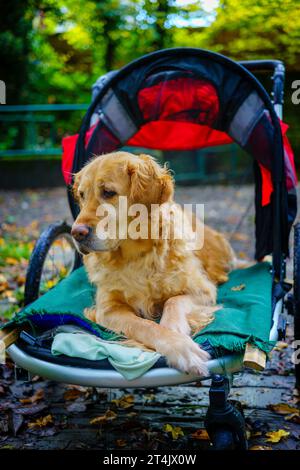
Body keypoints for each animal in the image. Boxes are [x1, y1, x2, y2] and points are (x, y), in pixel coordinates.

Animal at [71, 152, 236, 376]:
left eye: (108, 192)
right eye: (82, 195)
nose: (76, 233)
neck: (135, 256)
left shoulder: (204, 290)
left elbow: (173, 300)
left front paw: (174, 328)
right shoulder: (107, 309)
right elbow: (144, 326)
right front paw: (180, 347)